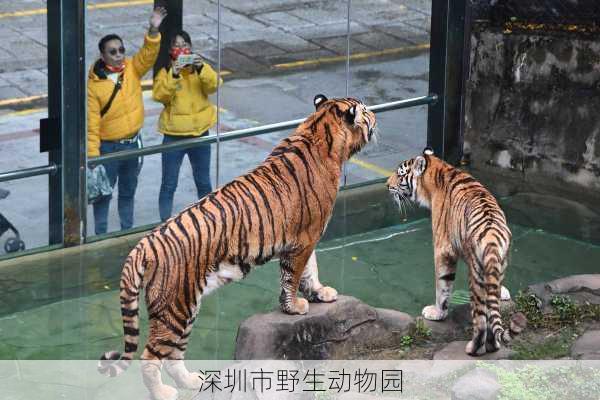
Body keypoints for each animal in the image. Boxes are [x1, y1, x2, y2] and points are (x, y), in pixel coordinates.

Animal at [101, 95, 378, 398]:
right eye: (366, 111)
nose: (376, 116)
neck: (319, 131)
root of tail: (144, 244)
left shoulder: (307, 237)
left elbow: (310, 270)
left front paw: (320, 293)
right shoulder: (304, 238)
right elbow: (293, 277)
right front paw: (294, 307)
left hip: (184, 307)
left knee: (173, 354)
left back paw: (192, 381)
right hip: (174, 308)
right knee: (151, 356)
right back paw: (163, 392)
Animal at [390, 149, 524, 356]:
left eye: (400, 175)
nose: (387, 185)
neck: (440, 170)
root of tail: (493, 236)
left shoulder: (442, 249)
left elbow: (442, 287)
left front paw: (436, 313)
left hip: (476, 277)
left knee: (481, 320)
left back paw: (473, 348)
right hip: (498, 265)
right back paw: (493, 346)